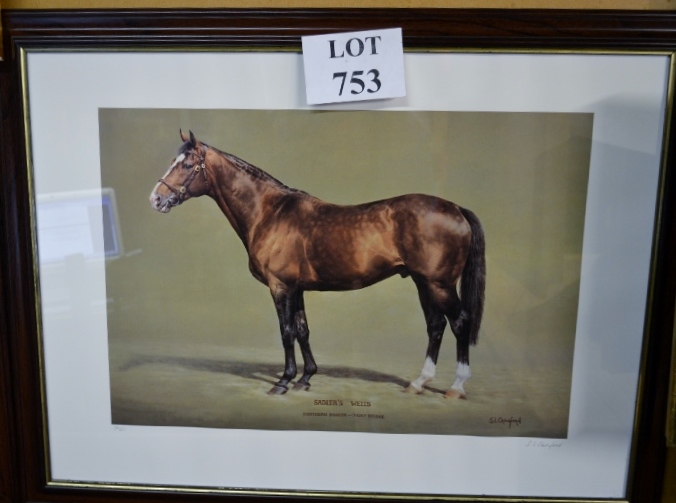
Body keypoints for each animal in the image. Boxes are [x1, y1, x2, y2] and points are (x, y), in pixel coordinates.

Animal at [149, 132, 486, 400]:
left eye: (187, 165)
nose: (156, 199)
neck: (270, 213)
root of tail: (456, 209)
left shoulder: (280, 286)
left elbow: (286, 331)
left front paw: (283, 382)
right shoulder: (296, 288)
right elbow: (303, 330)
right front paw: (306, 378)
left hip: (439, 284)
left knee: (459, 322)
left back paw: (456, 387)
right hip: (422, 282)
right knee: (436, 326)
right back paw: (418, 383)